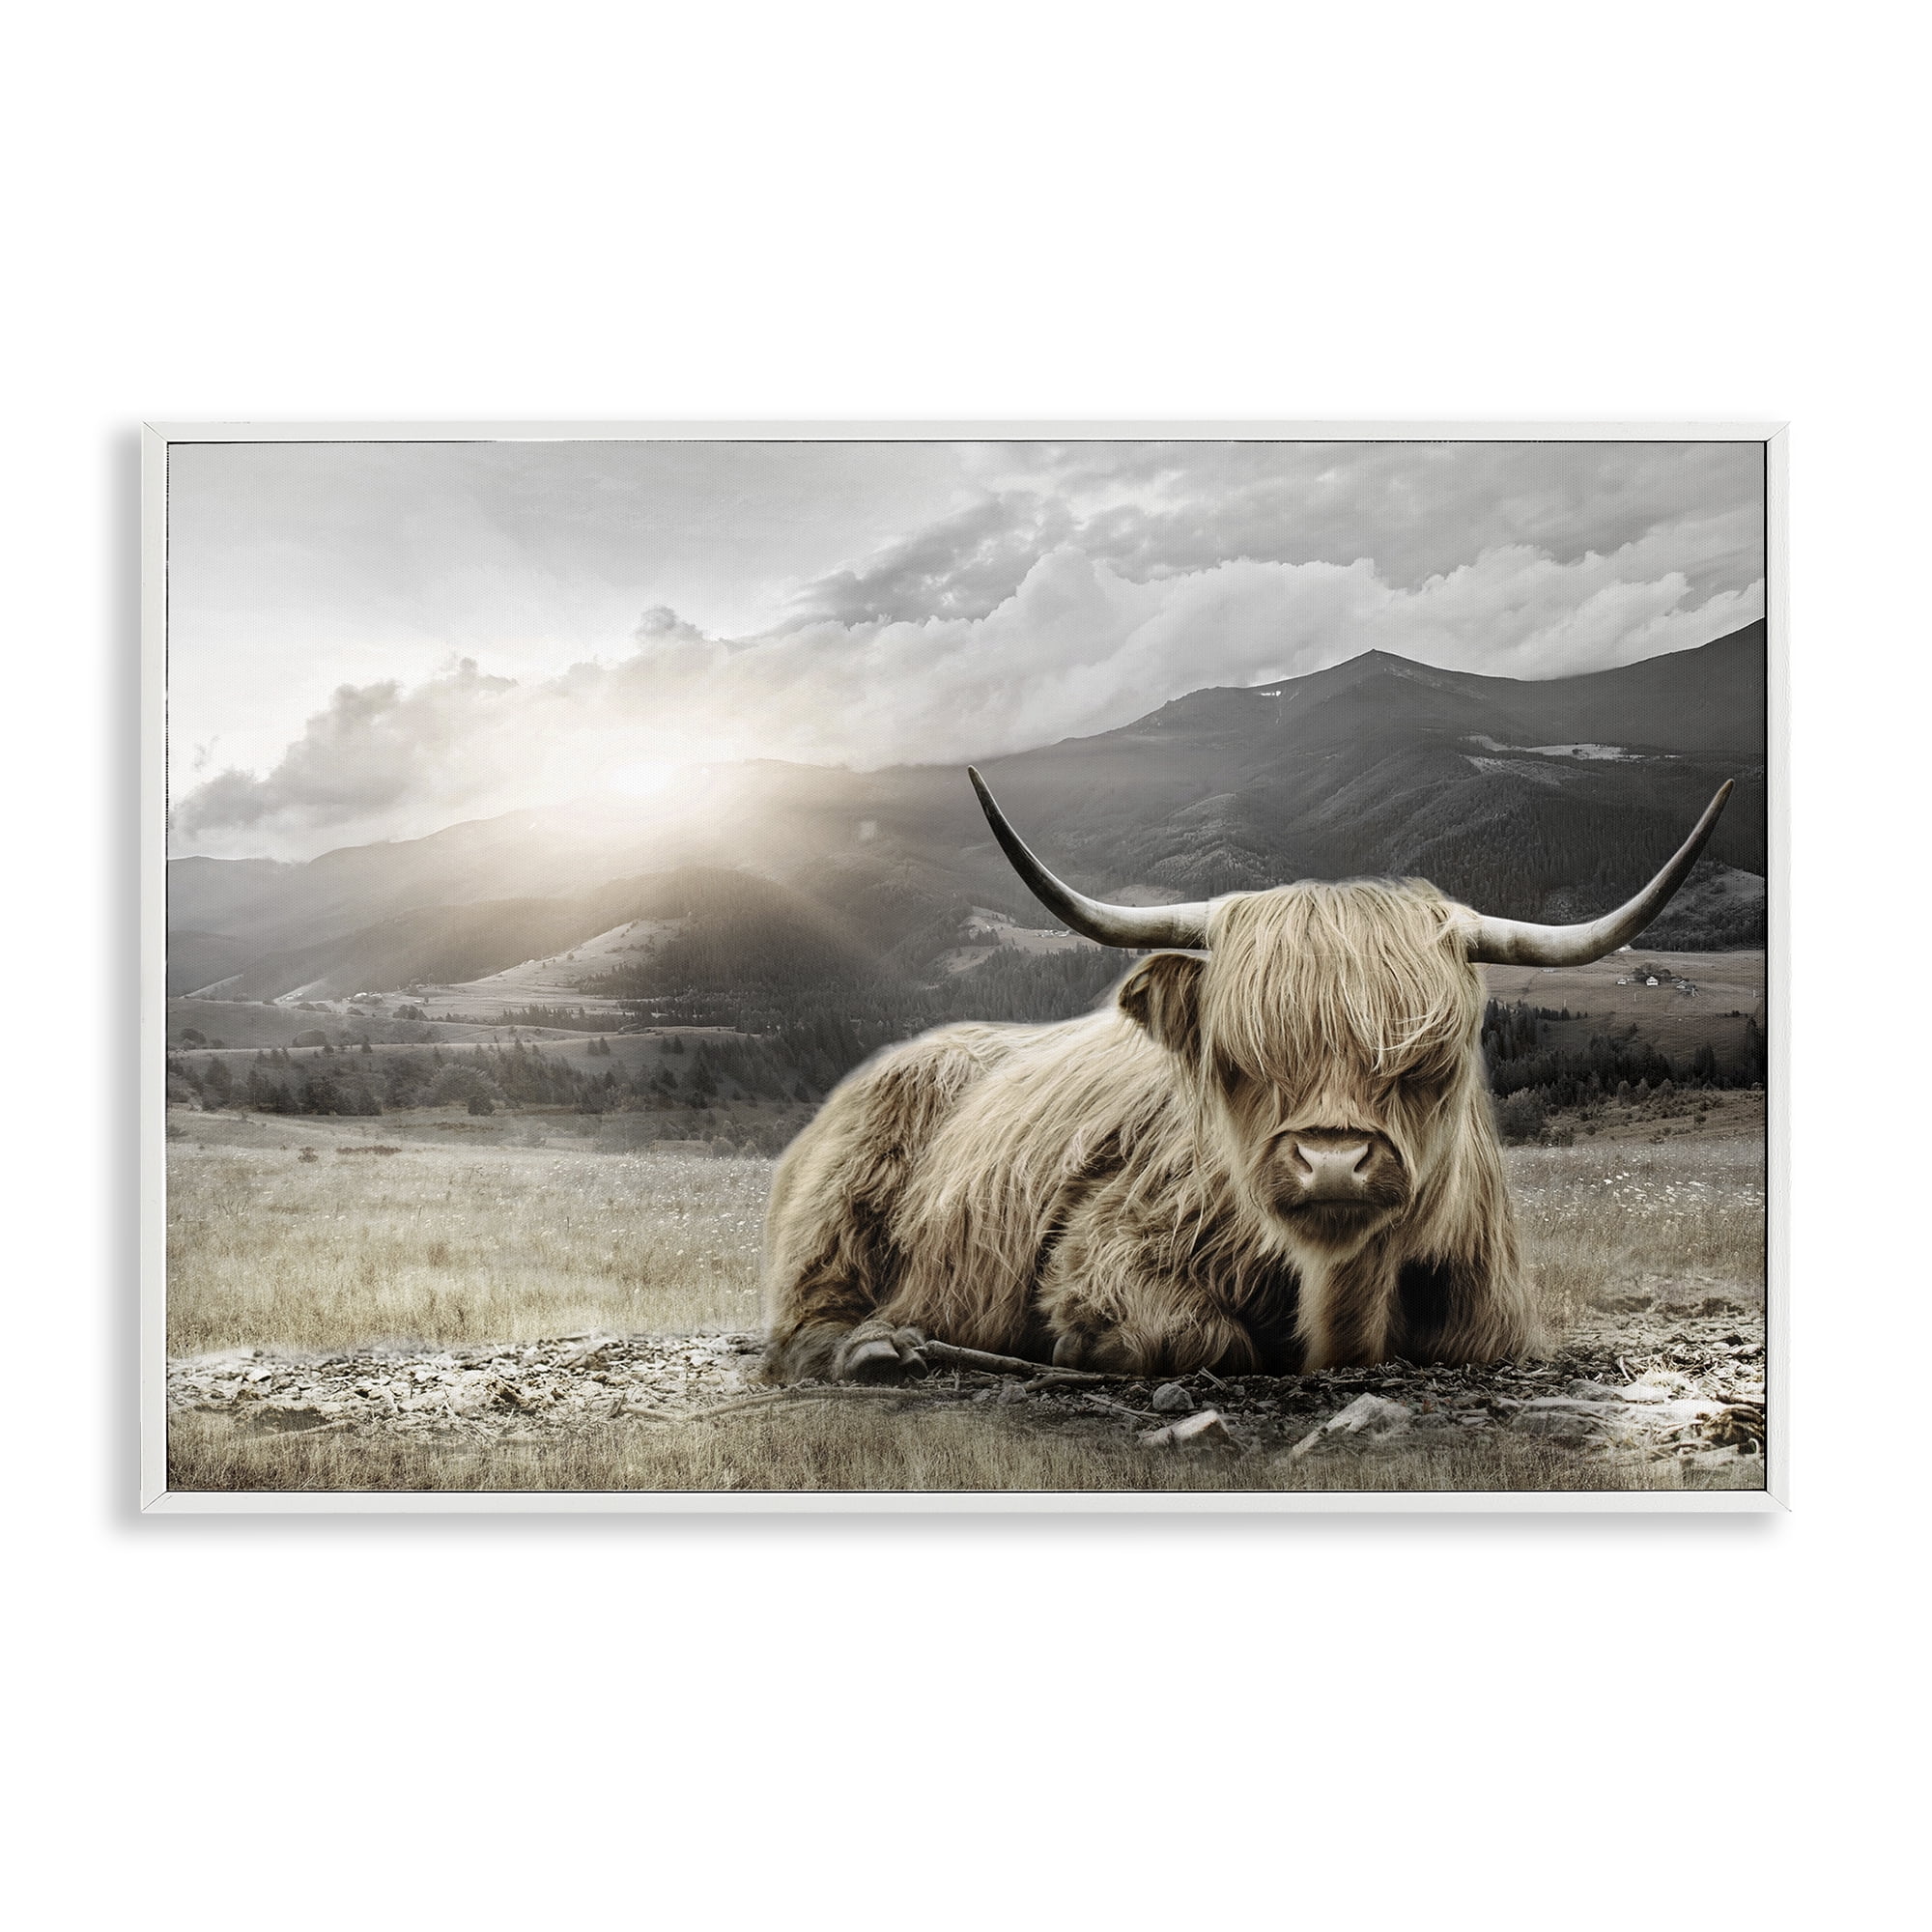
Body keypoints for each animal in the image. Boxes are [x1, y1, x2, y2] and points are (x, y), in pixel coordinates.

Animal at [762, 771, 1733, 1381]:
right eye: (1239, 1059)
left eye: (1427, 1058)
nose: (1334, 1162)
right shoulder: (1104, 1244)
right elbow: (1197, 1337)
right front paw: (1080, 1350)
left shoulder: (1492, 1319)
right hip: (845, 1202)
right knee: (805, 1314)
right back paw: (875, 1350)